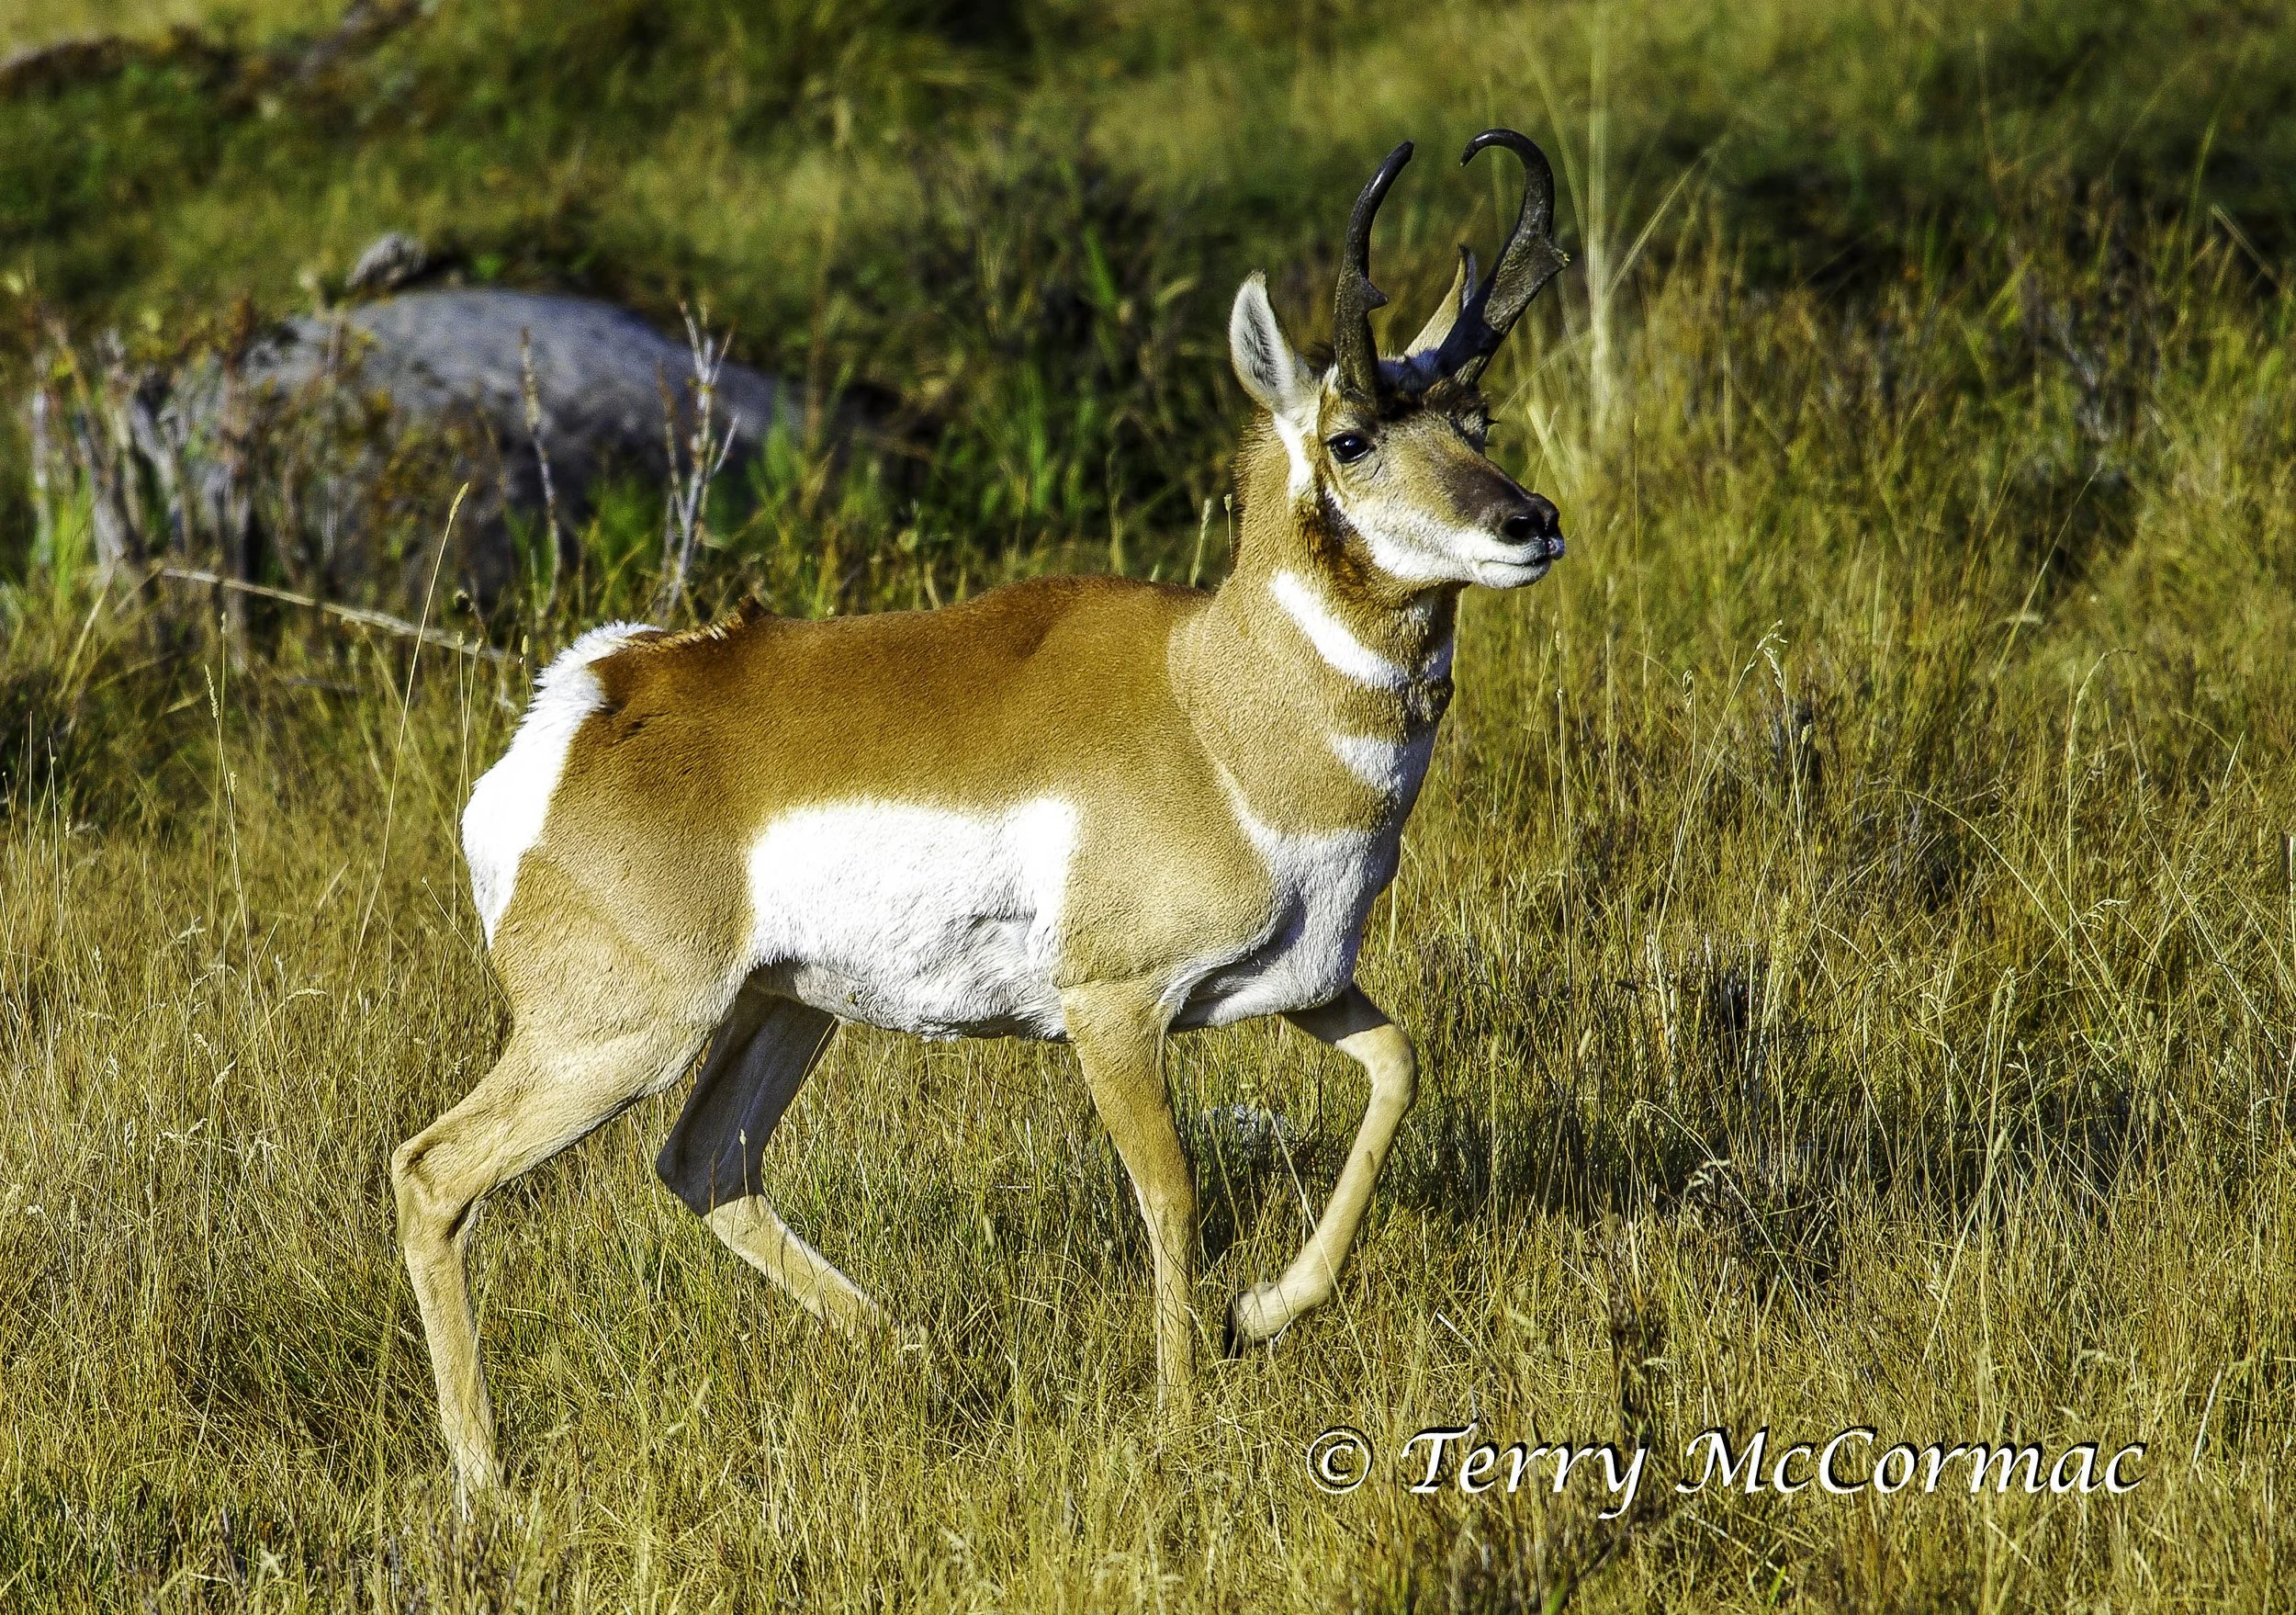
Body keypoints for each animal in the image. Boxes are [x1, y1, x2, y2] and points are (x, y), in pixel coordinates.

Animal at [394, 130, 1569, 1493]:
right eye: (1351, 438)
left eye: (1478, 418)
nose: (1529, 521)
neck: (1211, 699)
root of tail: (585, 709)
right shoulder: (1112, 1009)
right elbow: (1172, 1194)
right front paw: (1180, 1420)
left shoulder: (1307, 982)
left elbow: (1397, 1068)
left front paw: (1261, 1312)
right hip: (620, 1034)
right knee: (433, 1171)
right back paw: (485, 1479)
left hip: (781, 1009)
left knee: (705, 1162)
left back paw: (920, 1357)